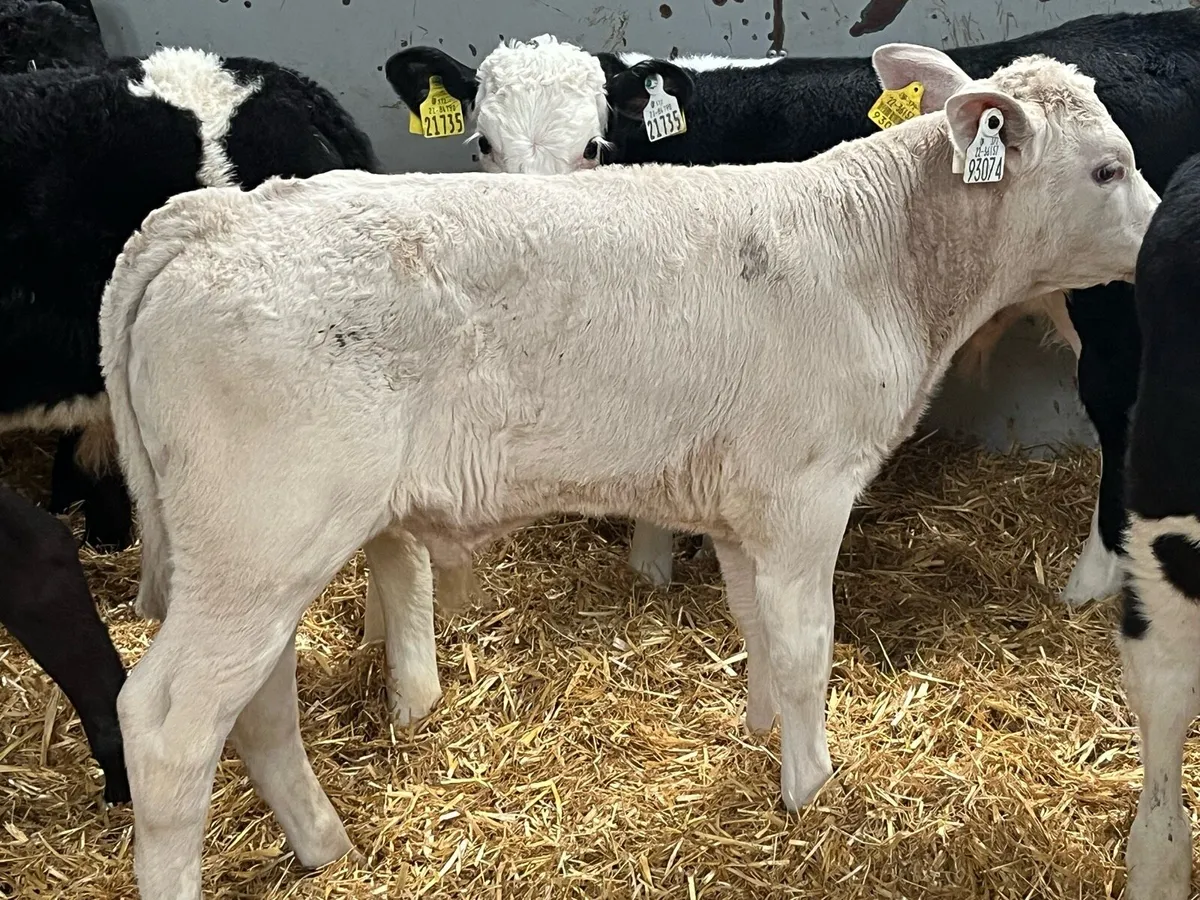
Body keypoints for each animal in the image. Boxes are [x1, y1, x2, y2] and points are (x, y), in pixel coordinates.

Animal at [98, 44, 1155, 896]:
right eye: (1110, 167)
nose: (1170, 234)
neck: (883, 256)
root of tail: (215, 219)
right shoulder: (806, 495)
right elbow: (806, 645)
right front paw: (811, 791)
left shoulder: (741, 506)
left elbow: (755, 628)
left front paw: (761, 738)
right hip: (263, 540)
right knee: (168, 728)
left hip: (253, 557)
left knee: (258, 703)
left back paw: (325, 845)